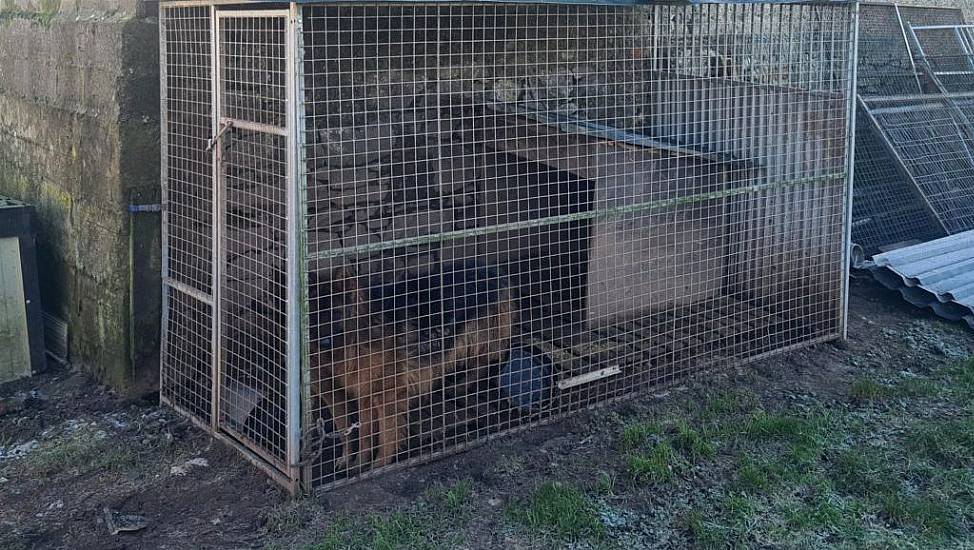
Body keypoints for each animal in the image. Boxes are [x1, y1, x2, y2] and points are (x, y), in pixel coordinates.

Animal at [312, 264, 516, 474]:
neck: (359, 334)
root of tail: (494, 270)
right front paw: (357, 464)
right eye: (312, 317)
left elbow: (386, 435)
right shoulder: (364, 393)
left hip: (477, 337)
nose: (319, 343)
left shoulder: (387, 395)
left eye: (332, 313)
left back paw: (461, 386)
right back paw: (459, 387)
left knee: (488, 361)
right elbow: (363, 435)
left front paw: (379, 466)